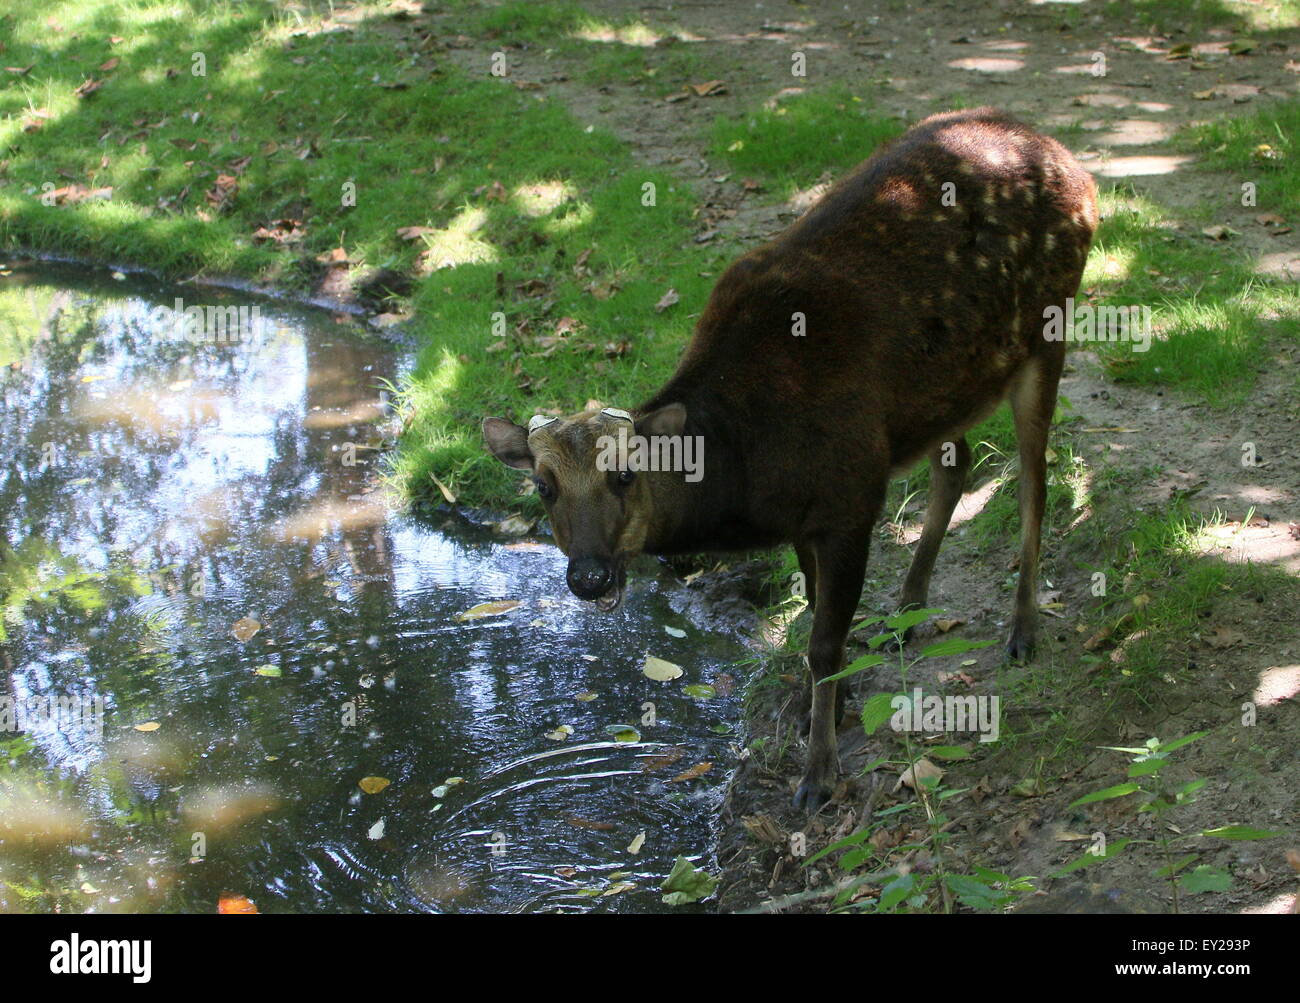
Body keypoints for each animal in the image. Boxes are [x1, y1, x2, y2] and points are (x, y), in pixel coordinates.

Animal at [486, 109, 1097, 810]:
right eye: (543, 486)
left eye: (624, 474)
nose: (588, 576)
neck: (752, 470)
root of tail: (1076, 167)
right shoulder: (810, 514)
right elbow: (811, 611)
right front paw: (821, 710)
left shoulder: (850, 497)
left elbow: (824, 642)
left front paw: (818, 774)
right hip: (943, 395)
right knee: (959, 460)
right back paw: (907, 612)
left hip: (1050, 324)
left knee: (1033, 482)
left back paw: (1023, 629)